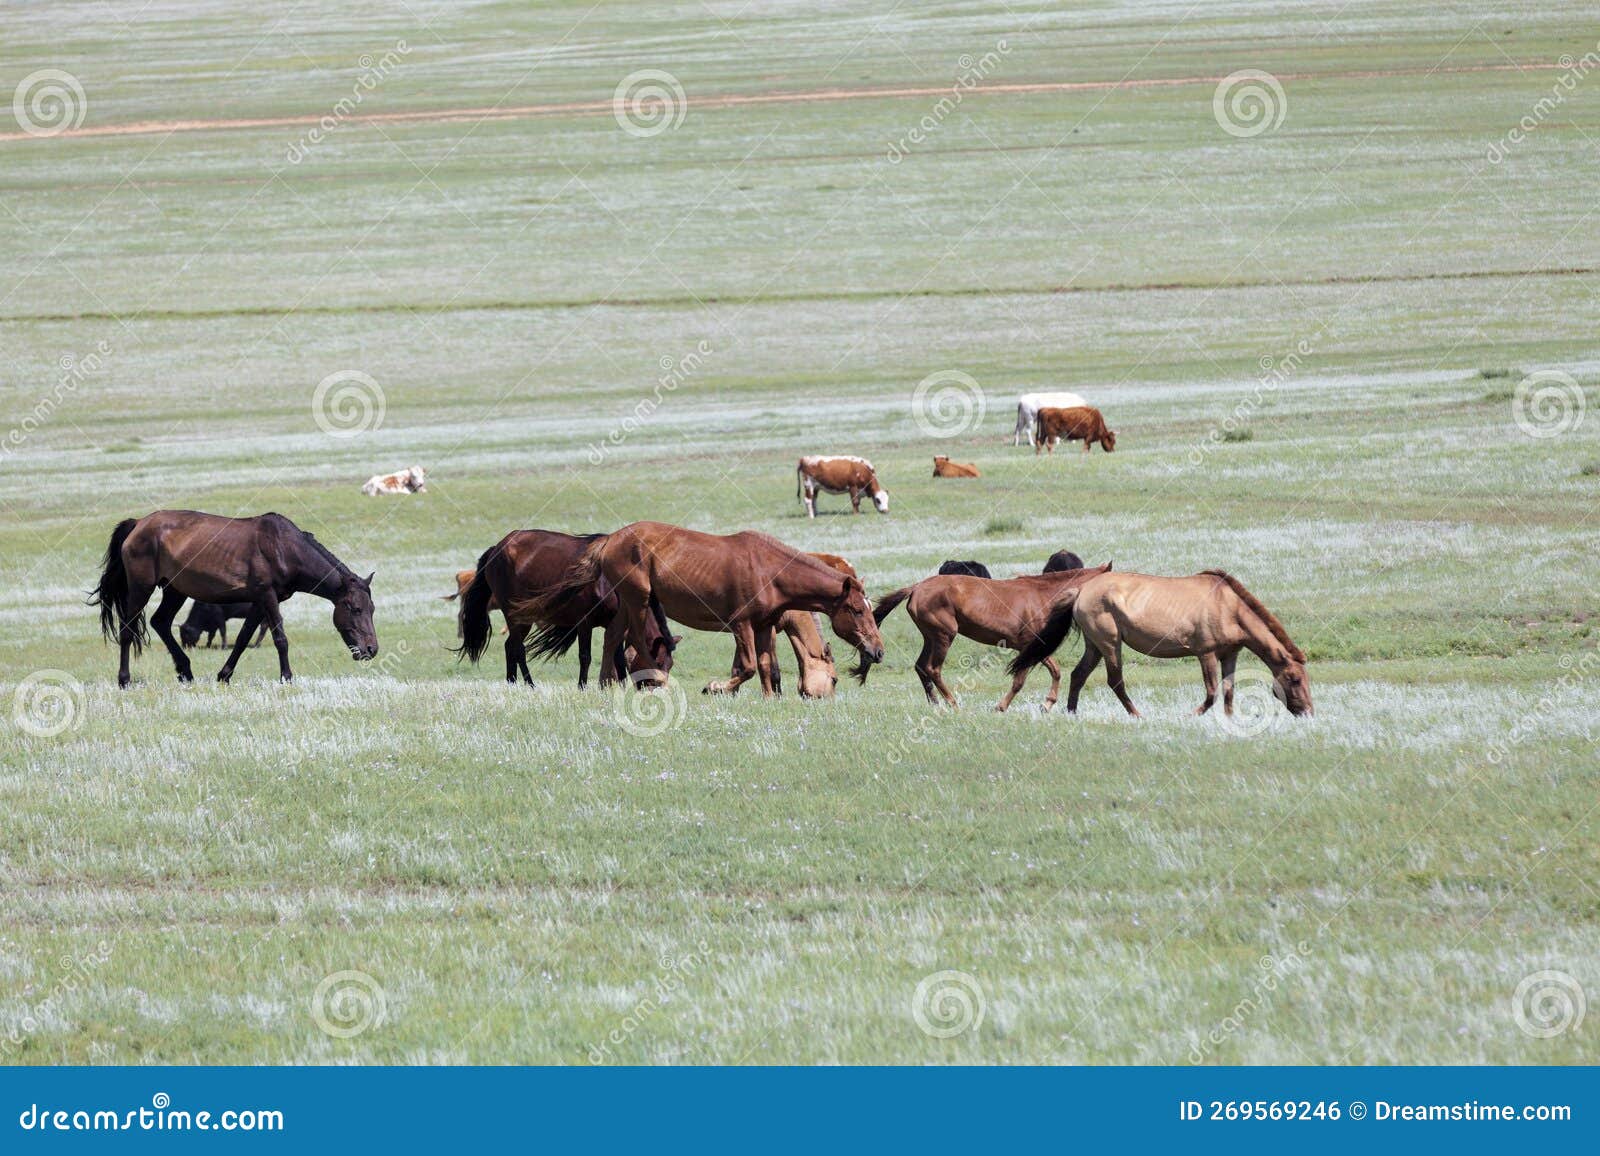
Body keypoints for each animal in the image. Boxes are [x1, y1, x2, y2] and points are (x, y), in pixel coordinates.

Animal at [90, 511, 377, 686]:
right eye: (355, 608)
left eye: (371, 609)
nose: (371, 650)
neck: (284, 547)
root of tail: (138, 524)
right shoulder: (268, 596)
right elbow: (280, 638)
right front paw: (286, 677)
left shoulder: (260, 602)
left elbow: (242, 639)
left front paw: (224, 675)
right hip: (142, 587)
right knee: (127, 629)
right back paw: (124, 679)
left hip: (175, 590)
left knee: (160, 622)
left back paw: (185, 671)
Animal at [459, 530, 673, 688]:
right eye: (658, 662)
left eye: (670, 665)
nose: (657, 690)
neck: (608, 583)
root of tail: (497, 548)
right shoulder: (585, 623)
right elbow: (585, 656)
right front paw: (582, 687)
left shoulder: (614, 624)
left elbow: (618, 658)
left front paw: (620, 687)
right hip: (513, 614)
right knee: (518, 649)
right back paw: (530, 685)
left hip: (524, 618)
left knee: (509, 646)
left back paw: (511, 683)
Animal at [529, 521, 884, 695]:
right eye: (856, 610)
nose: (878, 651)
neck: (769, 569)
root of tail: (611, 539)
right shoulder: (741, 625)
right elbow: (748, 667)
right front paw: (714, 688)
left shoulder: (763, 625)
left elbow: (764, 667)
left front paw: (769, 699)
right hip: (639, 600)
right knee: (637, 642)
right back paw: (654, 680)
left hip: (628, 602)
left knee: (613, 637)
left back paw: (605, 685)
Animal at [862, 563, 1110, 710]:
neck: (1043, 597)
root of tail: (916, 588)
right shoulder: (1029, 647)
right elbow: (1020, 680)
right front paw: (1001, 706)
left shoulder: (1033, 648)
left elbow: (1055, 671)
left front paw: (1047, 705)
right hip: (944, 636)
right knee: (933, 669)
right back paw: (952, 704)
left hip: (931, 637)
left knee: (921, 667)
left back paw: (935, 704)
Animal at [1007, 570, 1312, 718]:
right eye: (1295, 679)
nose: (1308, 712)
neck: (1228, 607)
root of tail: (1081, 590)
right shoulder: (1206, 653)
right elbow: (1211, 693)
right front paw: (1189, 716)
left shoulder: (1230, 654)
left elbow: (1228, 691)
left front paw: (1229, 720)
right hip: (1111, 644)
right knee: (1115, 681)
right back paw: (1137, 715)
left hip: (1095, 646)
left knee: (1078, 675)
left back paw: (1072, 713)